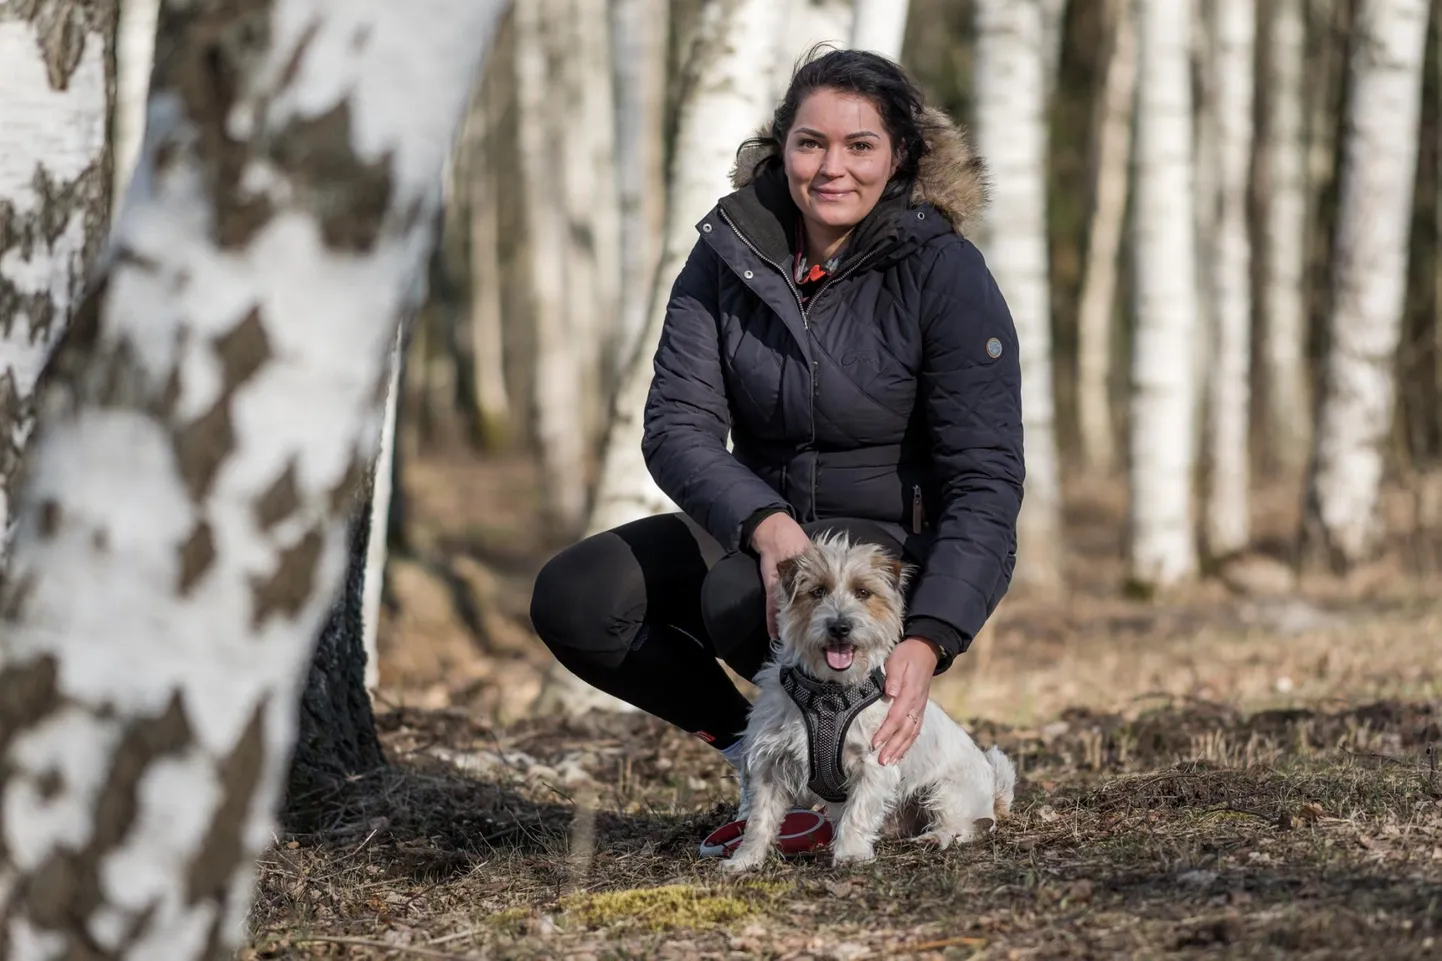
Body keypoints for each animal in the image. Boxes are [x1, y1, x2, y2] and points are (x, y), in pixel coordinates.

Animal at [721, 531, 1015, 865]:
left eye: (863, 592)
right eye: (817, 591)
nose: (840, 626)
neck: (829, 693)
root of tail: (993, 790)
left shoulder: (874, 764)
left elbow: (858, 813)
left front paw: (850, 853)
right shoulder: (770, 764)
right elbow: (760, 819)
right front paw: (745, 859)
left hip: (947, 791)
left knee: (964, 828)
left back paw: (934, 837)